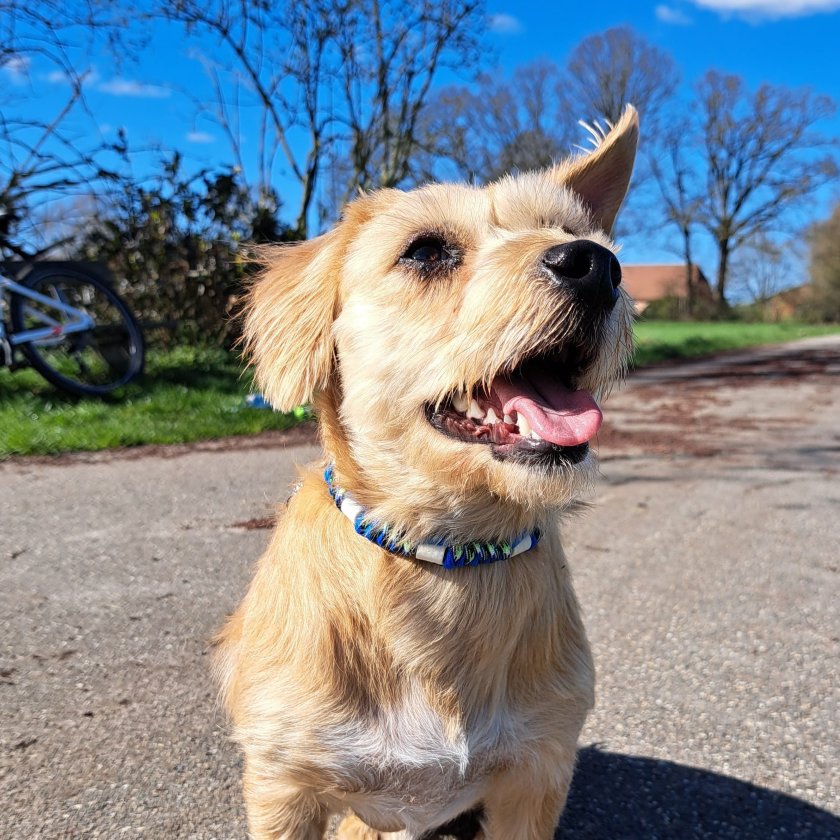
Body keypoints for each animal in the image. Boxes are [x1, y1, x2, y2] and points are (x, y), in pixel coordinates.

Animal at [215, 106, 636, 840]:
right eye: (425, 251)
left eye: (569, 230)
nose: (596, 265)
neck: (449, 554)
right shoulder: (282, 787)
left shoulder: (537, 775)